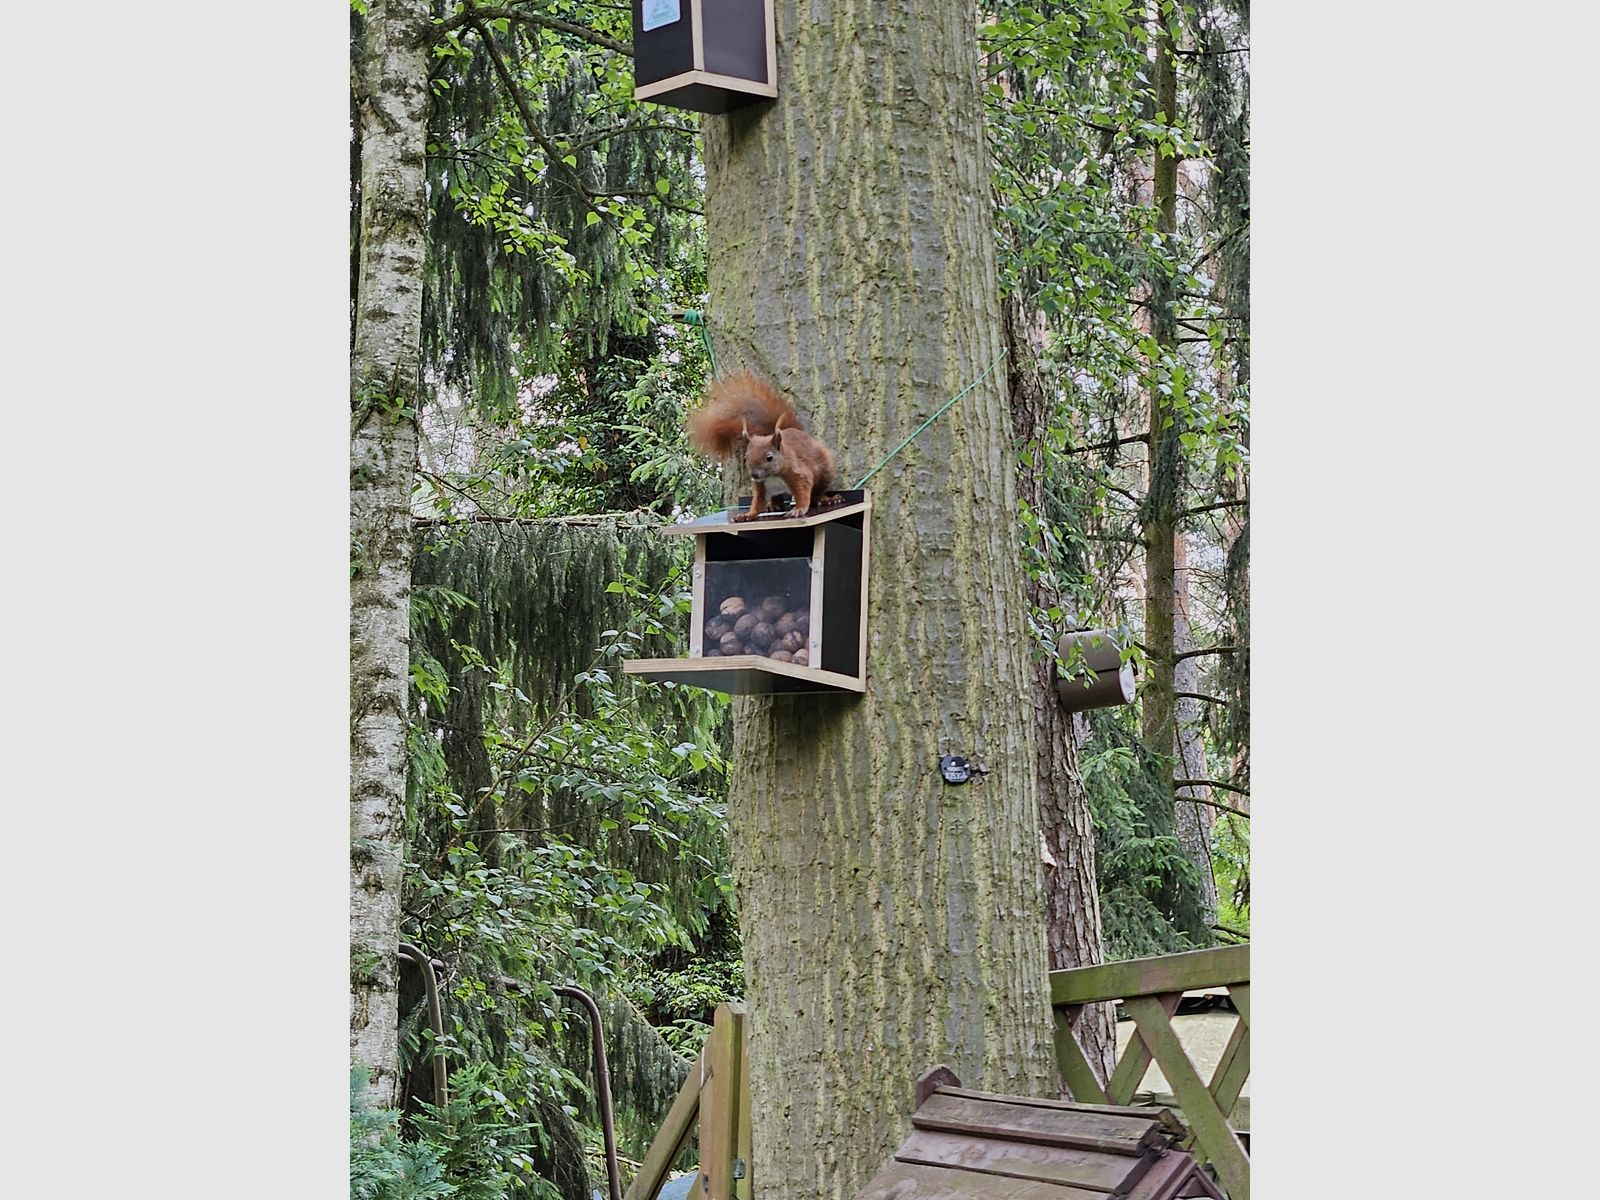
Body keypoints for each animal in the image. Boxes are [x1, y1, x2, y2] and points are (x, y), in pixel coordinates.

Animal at [686, 371, 841, 522]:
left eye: (769, 457)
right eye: (746, 458)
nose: (754, 474)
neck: (773, 476)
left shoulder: (799, 474)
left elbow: (803, 493)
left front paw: (798, 510)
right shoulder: (761, 486)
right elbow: (757, 504)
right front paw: (746, 515)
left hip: (825, 472)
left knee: (817, 492)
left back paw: (827, 499)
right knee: (777, 499)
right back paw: (773, 505)